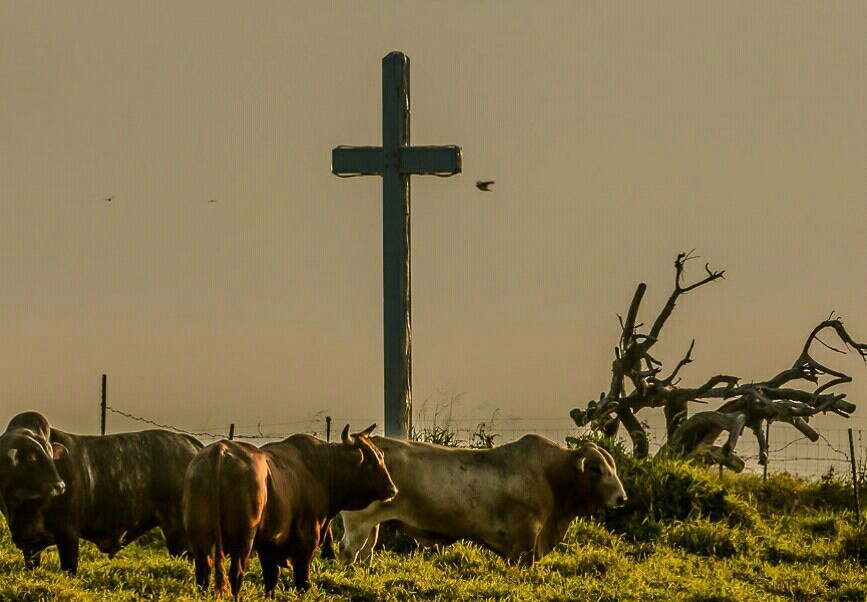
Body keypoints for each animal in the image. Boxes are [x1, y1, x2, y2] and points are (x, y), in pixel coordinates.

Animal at [186, 424, 400, 596]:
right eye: (370, 460)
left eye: (381, 455)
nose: (393, 489)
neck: (322, 467)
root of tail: (220, 451)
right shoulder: (306, 542)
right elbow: (302, 580)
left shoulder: (268, 545)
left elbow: (271, 579)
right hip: (243, 540)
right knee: (235, 575)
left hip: (201, 538)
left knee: (203, 573)